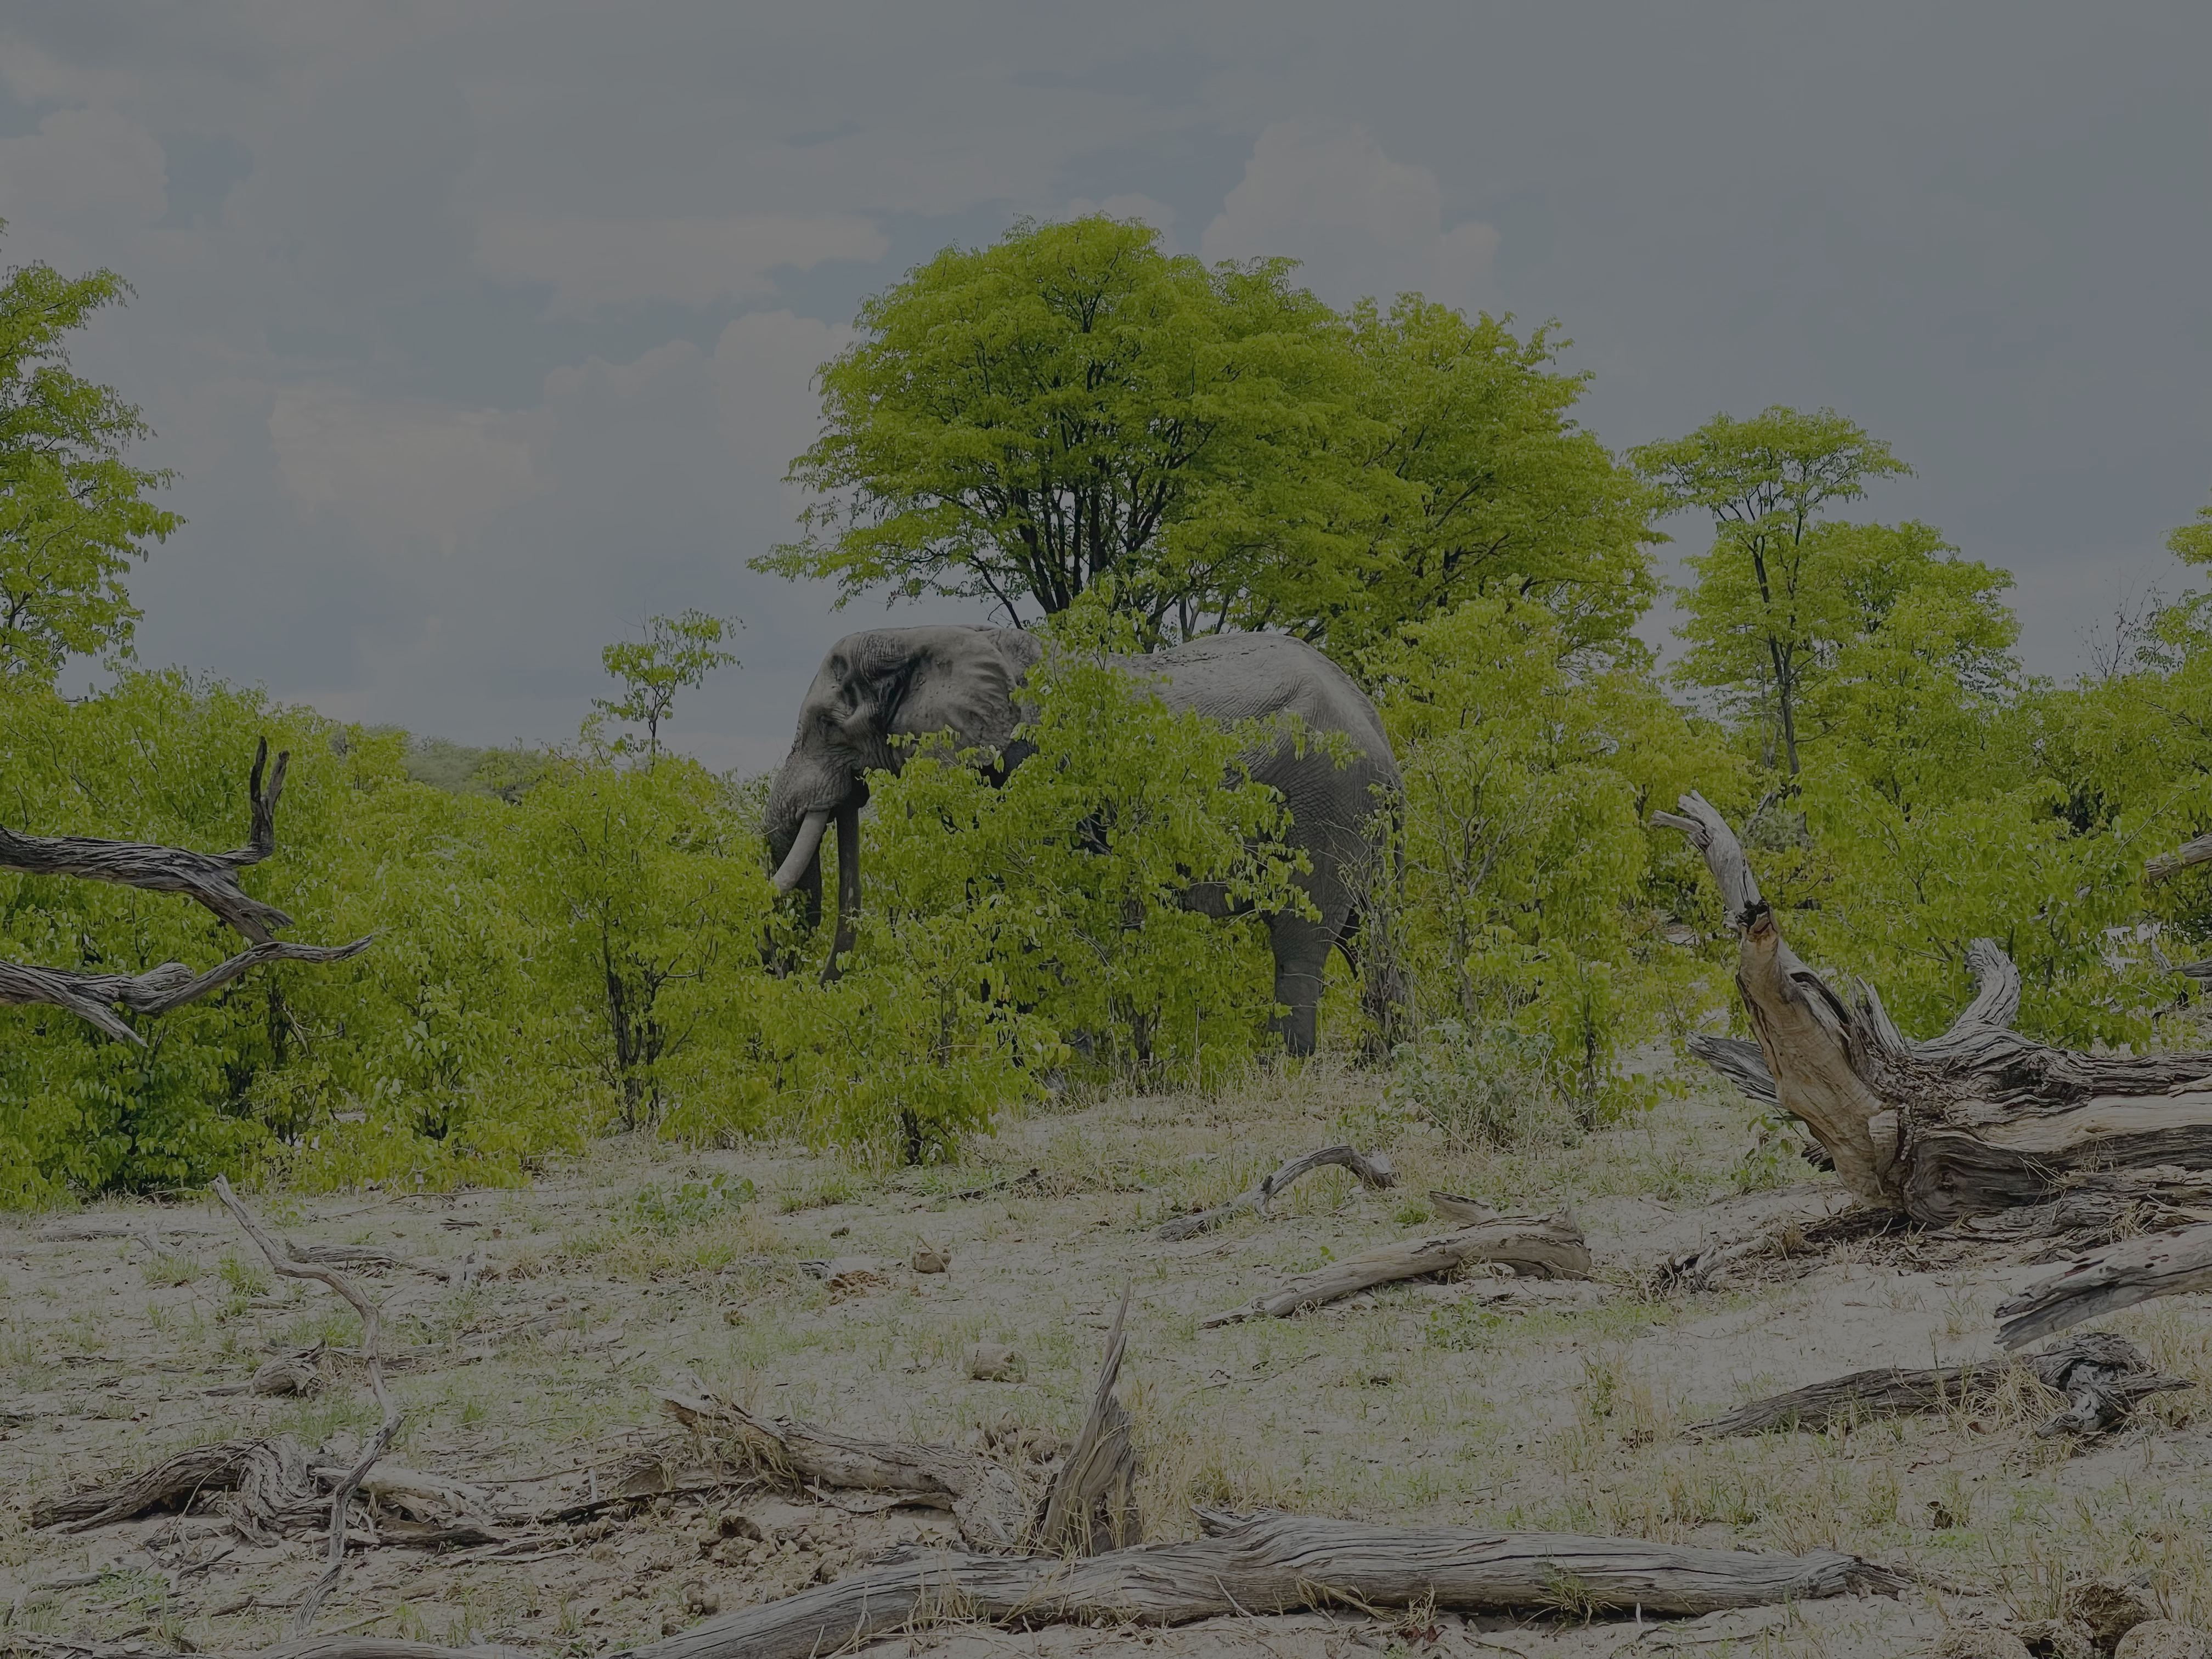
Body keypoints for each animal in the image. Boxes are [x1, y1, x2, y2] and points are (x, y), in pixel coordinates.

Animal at [761, 624, 1401, 1056]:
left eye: (827, 725)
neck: (923, 635)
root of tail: (1376, 727)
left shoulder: (1032, 770)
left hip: (1325, 806)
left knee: (1301, 935)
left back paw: (1282, 1064)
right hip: (1365, 818)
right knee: (1371, 931)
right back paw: (1386, 1057)